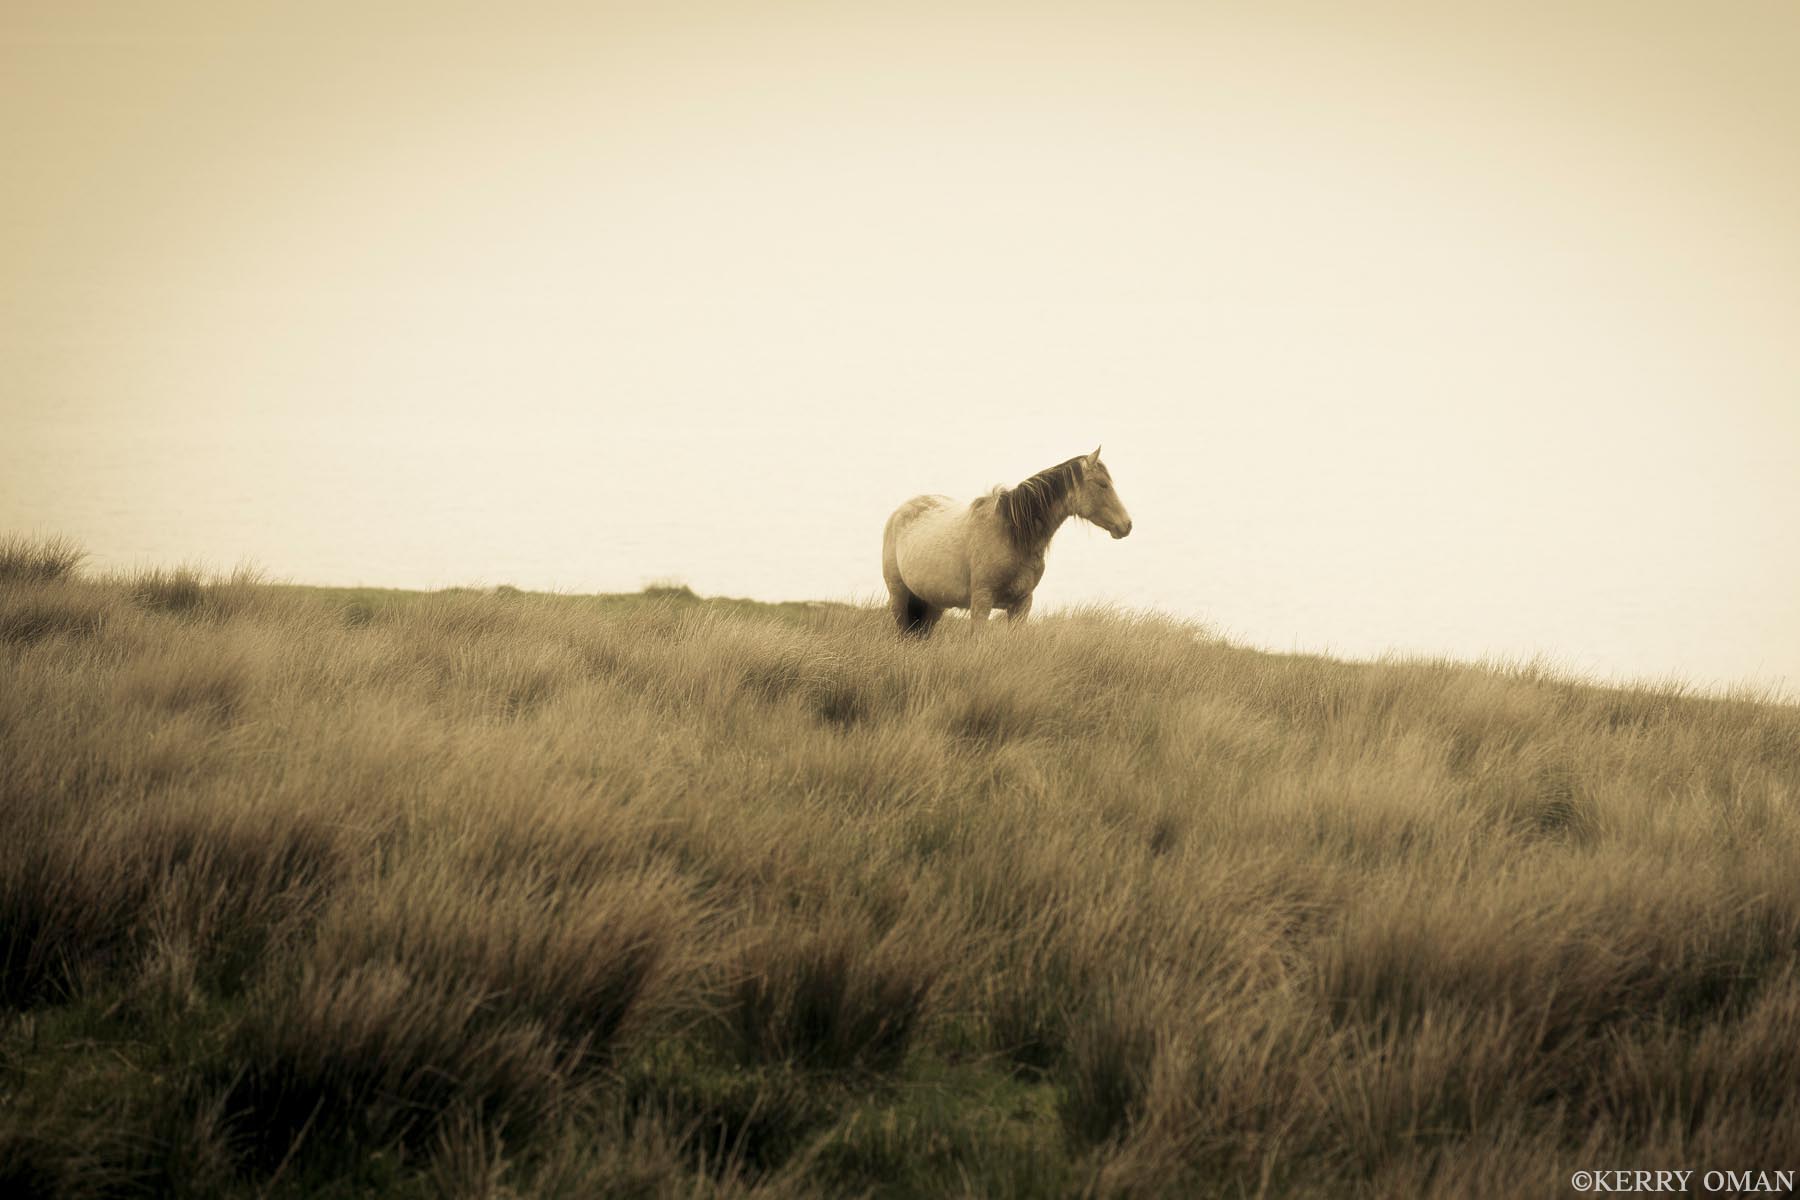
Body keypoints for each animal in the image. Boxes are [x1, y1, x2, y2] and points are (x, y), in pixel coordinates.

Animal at [881, 446, 1133, 636]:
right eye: (1102, 484)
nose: (1126, 525)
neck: (1012, 535)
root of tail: (898, 513)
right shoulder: (982, 602)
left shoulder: (1022, 604)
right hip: (899, 597)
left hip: (932, 604)